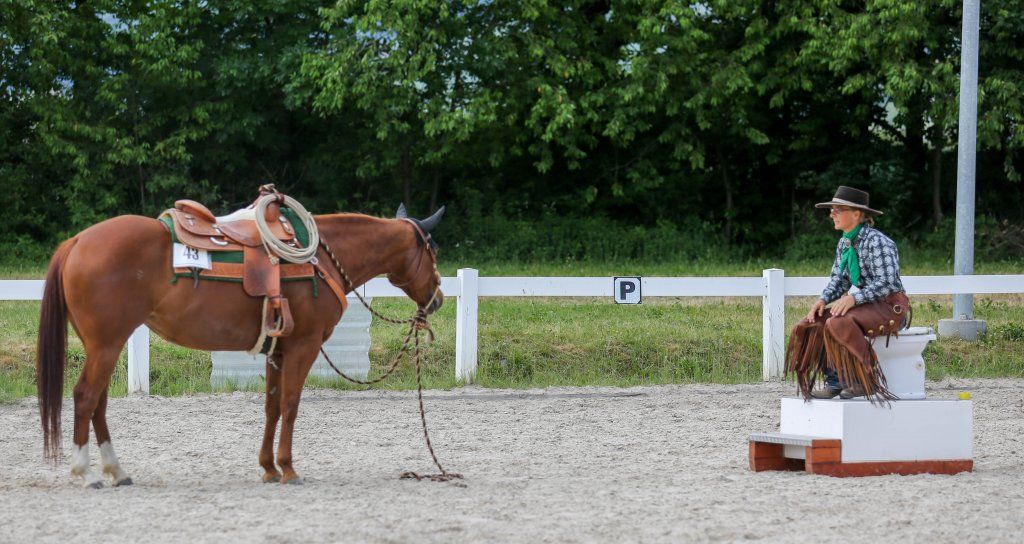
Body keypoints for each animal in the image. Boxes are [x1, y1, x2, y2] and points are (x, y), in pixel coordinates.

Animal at [36, 204, 445, 487]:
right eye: (433, 249)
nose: (438, 298)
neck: (321, 258)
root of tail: (78, 241)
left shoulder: (277, 350)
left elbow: (272, 407)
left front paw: (268, 467)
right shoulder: (304, 346)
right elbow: (291, 405)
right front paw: (289, 469)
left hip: (105, 344)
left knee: (99, 403)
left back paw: (117, 471)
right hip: (106, 344)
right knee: (86, 397)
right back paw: (86, 473)